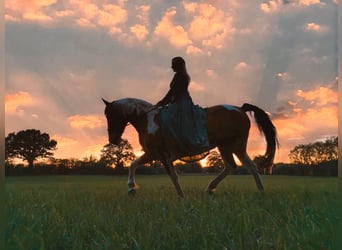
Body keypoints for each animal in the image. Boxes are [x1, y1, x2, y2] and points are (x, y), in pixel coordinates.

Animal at [101, 97, 278, 197]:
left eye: (109, 114)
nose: (113, 139)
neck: (148, 120)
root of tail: (240, 109)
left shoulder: (158, 154)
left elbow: (172, 175)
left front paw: (181, 197)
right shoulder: (152, 154)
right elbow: (133, 164)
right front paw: (131, 189)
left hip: (235, 146)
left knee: (245, 166)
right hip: (227, 147)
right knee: (238, 166)